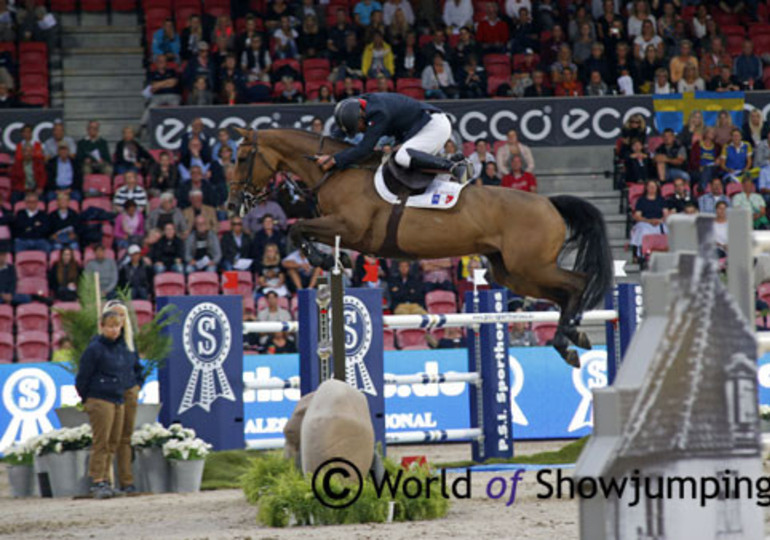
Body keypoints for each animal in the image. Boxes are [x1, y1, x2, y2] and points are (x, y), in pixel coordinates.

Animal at [228, 129, 612, 370]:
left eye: (243, 157)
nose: (233, 204)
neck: (336, 171)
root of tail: (549, 202)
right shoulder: (341, 228)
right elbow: (298, 231)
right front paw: (330, 259)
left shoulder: (349, 228)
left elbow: (297, 229)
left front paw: (327, 257)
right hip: (514, 273)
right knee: (563, 292)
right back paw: (572, 337)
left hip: (530, 266)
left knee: (577, 283)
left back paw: (567, 339)